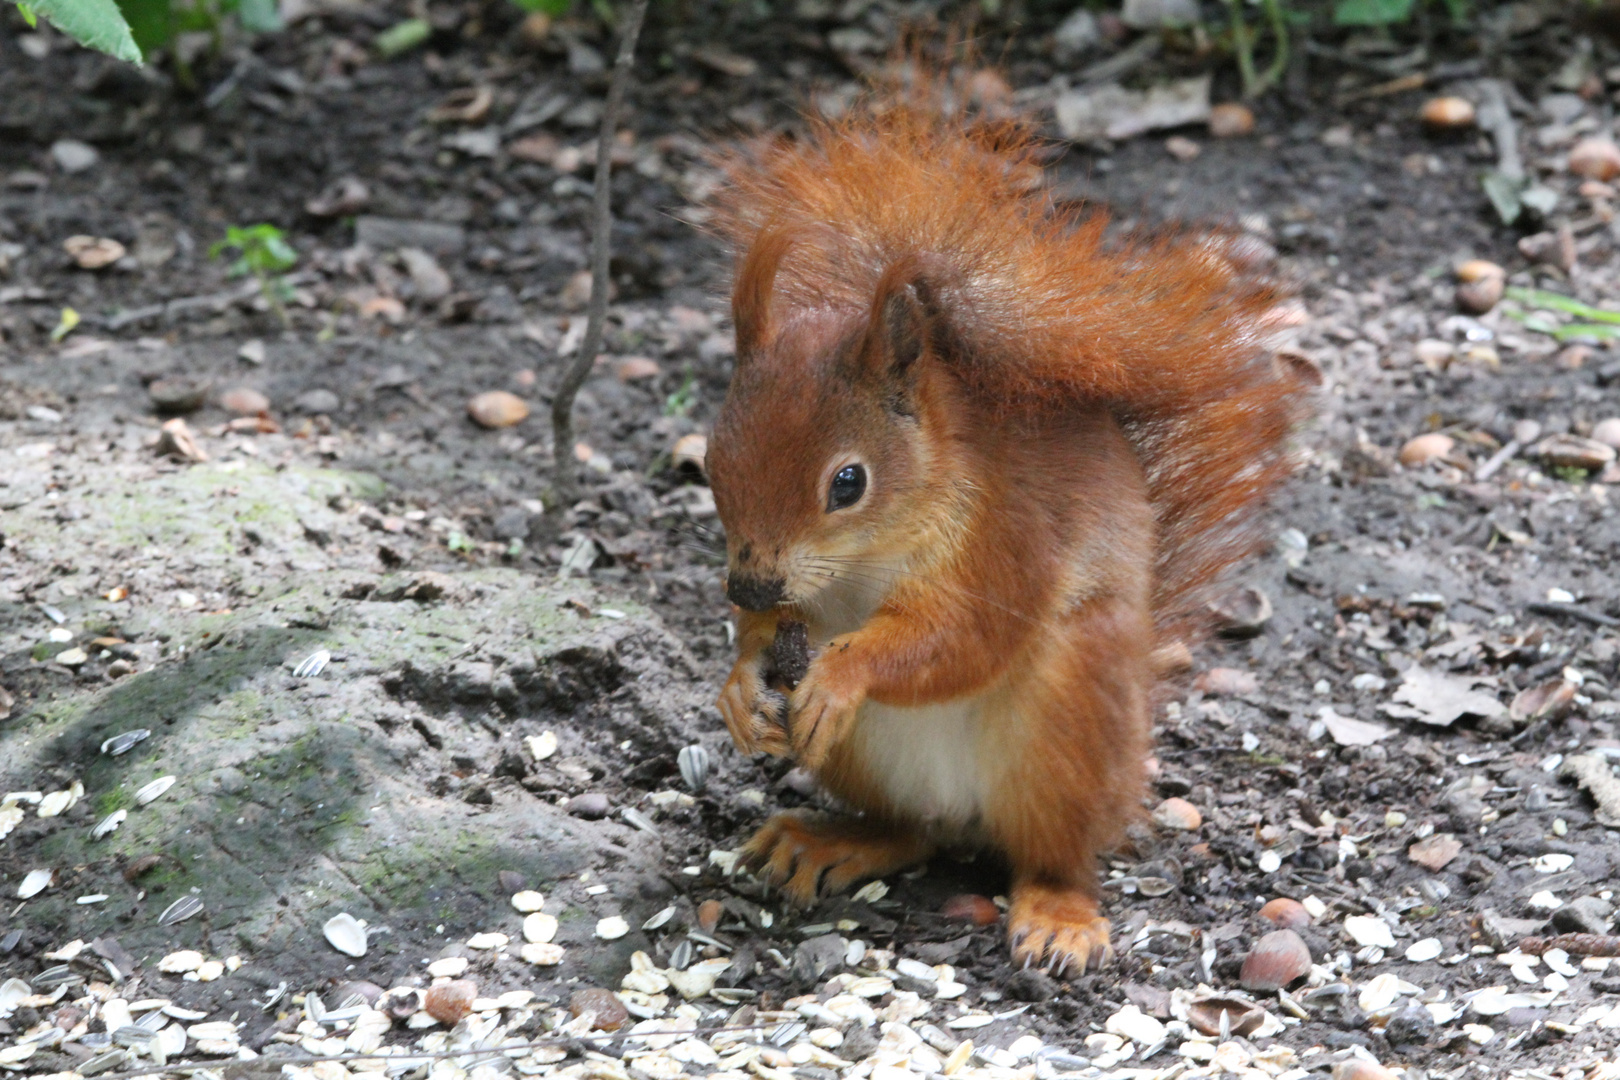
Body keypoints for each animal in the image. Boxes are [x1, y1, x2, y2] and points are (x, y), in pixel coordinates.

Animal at [703, 71, 1308, 977]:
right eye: (712, 460)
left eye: (848, 482)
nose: (748, 584)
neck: (865, 560)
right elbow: (767, 644)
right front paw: (741, 685)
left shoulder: (1008, 536)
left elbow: (964, 638)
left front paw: (843, 671)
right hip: (868, 762)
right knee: (911, 831)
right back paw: (830, 841)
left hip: (1067, 718)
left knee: (1054, 853)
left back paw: (1058, 913)